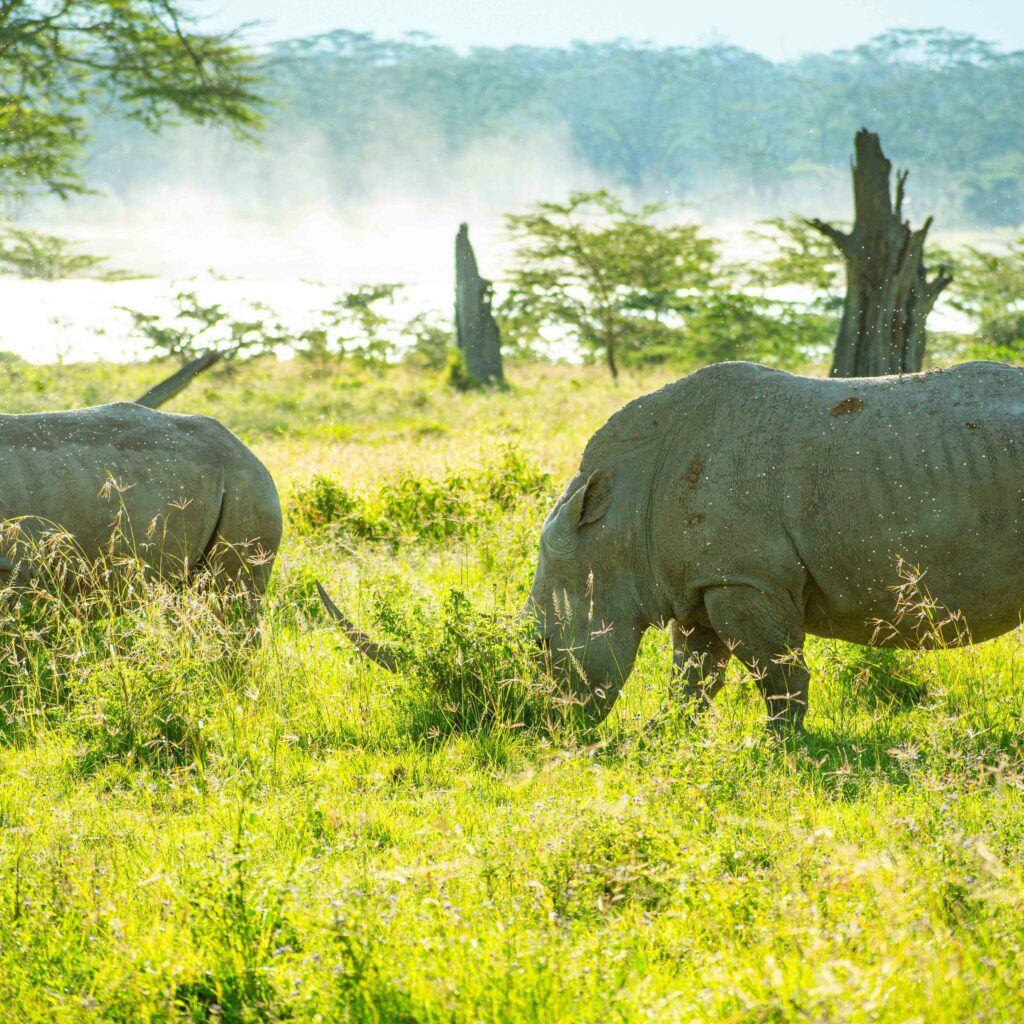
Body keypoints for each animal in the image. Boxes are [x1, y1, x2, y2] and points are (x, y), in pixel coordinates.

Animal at [320, 360, 1024, 732]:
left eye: (543, 646)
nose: (540, 727)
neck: (613, 525)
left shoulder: (744, 576)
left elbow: (778, 673)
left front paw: (786, 750)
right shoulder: (696, 582)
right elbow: (694, 678)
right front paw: (667, 740)